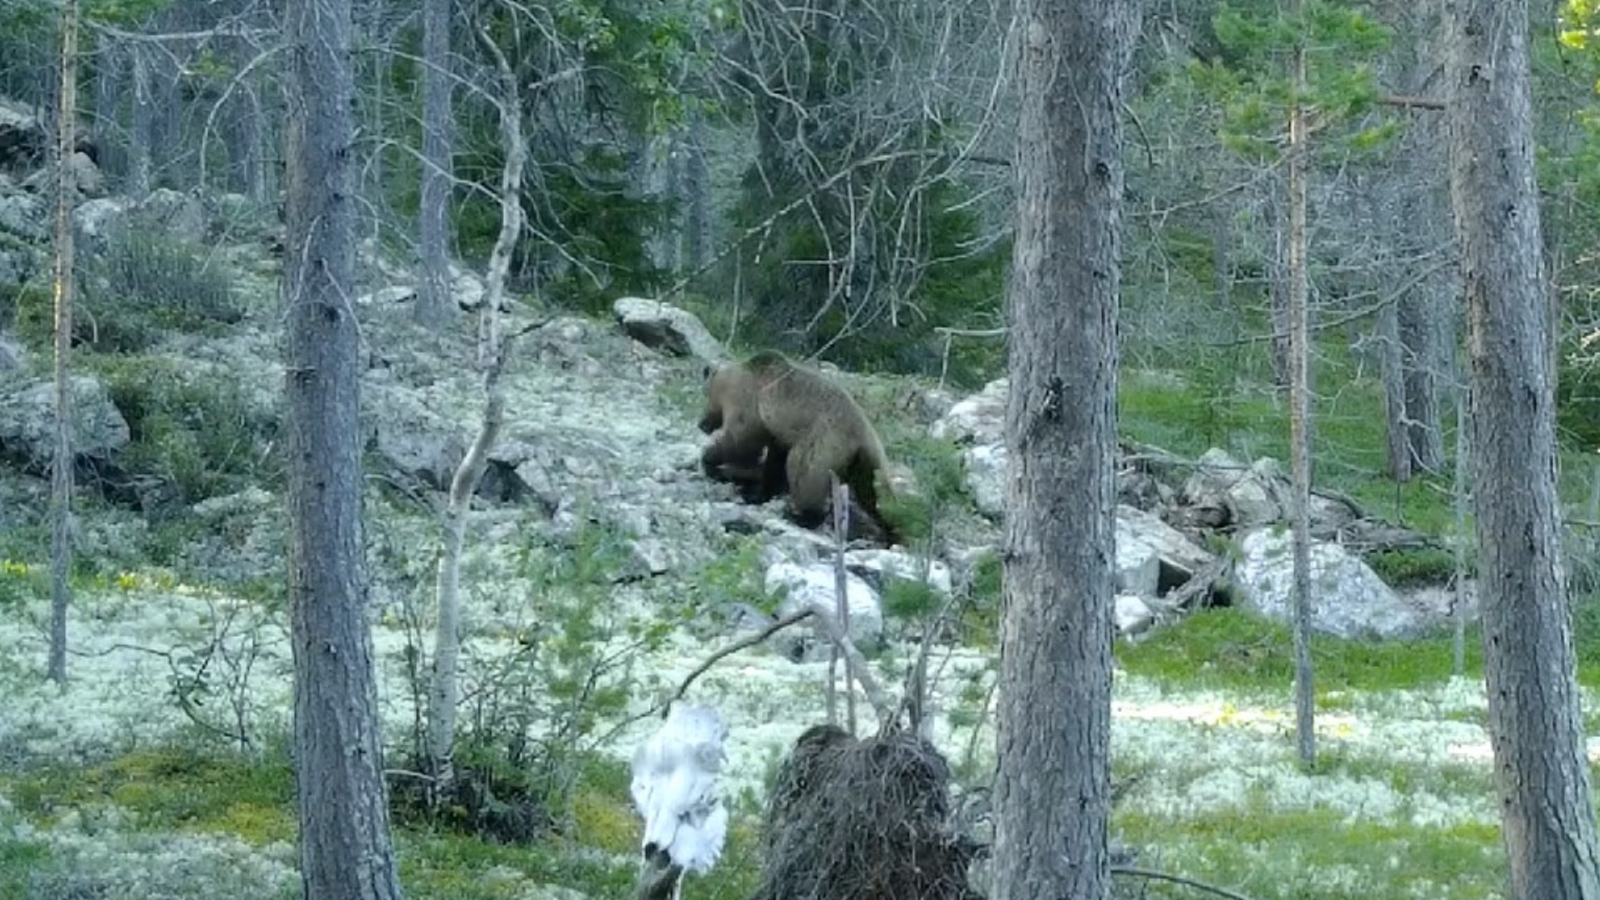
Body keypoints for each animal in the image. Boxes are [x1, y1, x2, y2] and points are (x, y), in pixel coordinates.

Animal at [700, 352, 902, 544]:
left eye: (706, 395)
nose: (702, 424)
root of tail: (864, 436)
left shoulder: (751, 402)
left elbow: (742, 439)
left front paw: (710, 461)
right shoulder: (778, 433)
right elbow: (773, 462)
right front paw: (756, 492)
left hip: (823, 442)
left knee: (804, 472)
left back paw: (802, 515)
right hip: (866, 463)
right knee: (874, 496)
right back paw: (890, 529)